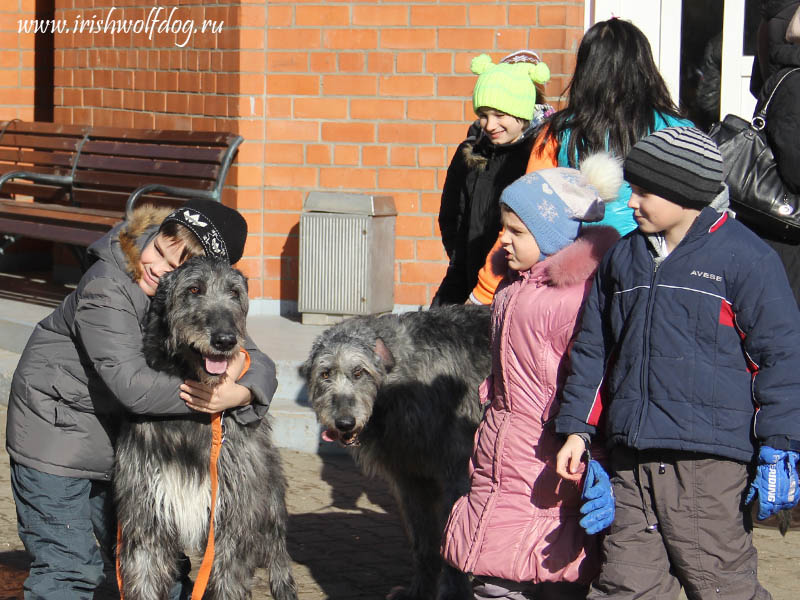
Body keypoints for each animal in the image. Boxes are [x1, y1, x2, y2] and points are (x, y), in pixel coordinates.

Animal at [113, 258, 296, 600]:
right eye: (194, 289)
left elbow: (229, 579)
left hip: (269, 505)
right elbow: (143, 574)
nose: (225, 340)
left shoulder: (232, 521)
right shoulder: (146, 516)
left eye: (235, 293)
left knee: (279, 555)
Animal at [298, 304, 490, 600]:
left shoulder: (458, 474)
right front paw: (419, 591)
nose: (344, 422)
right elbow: (423, 540)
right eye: (325, 373)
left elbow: (455, 541)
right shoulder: (409, 477)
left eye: (359, 372)